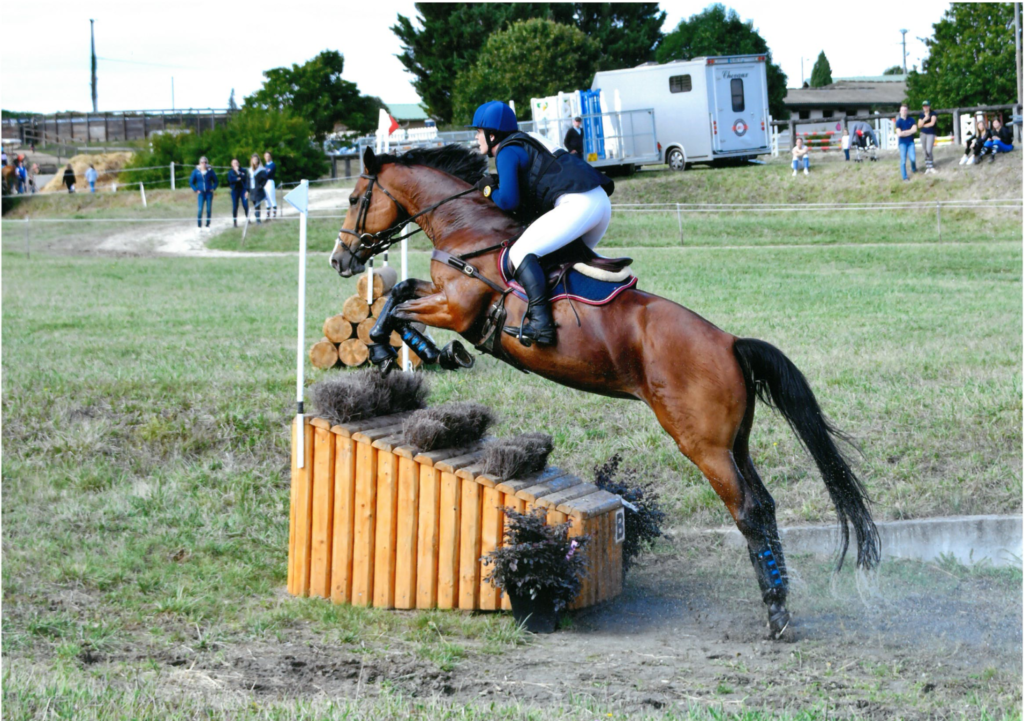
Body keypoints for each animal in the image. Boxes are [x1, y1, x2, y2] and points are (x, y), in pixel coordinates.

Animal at [329, 146, 880, 634]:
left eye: (356, 198)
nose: (339, 259)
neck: (469, 229)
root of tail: (729, 343)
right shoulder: (443, 298)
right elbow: (400, 293)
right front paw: (429, 352)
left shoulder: (457, 307)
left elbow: (396, 305)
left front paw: (392, 350)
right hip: (733, 443)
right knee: (763, 503)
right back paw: (778, 599)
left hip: (701, 444)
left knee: (748, 510)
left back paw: (776, 611)